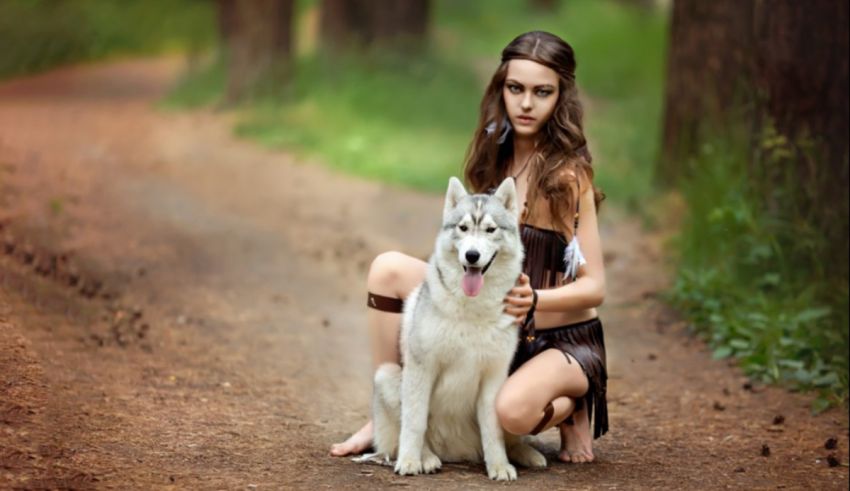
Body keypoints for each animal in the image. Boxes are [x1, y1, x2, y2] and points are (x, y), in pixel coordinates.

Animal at [370, 177, 544, 480]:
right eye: (462, 228)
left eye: (490, 229)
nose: (472, 255)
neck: (473, 308)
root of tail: (458, 451)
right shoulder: (422, 368)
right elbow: (414, 423)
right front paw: (410, 461)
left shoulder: (494, 377)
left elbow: (493, 431)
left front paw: (499, 465)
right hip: (388, 375)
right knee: (414, 430)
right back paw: (427, 457)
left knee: (510, 438)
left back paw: (525, 454)